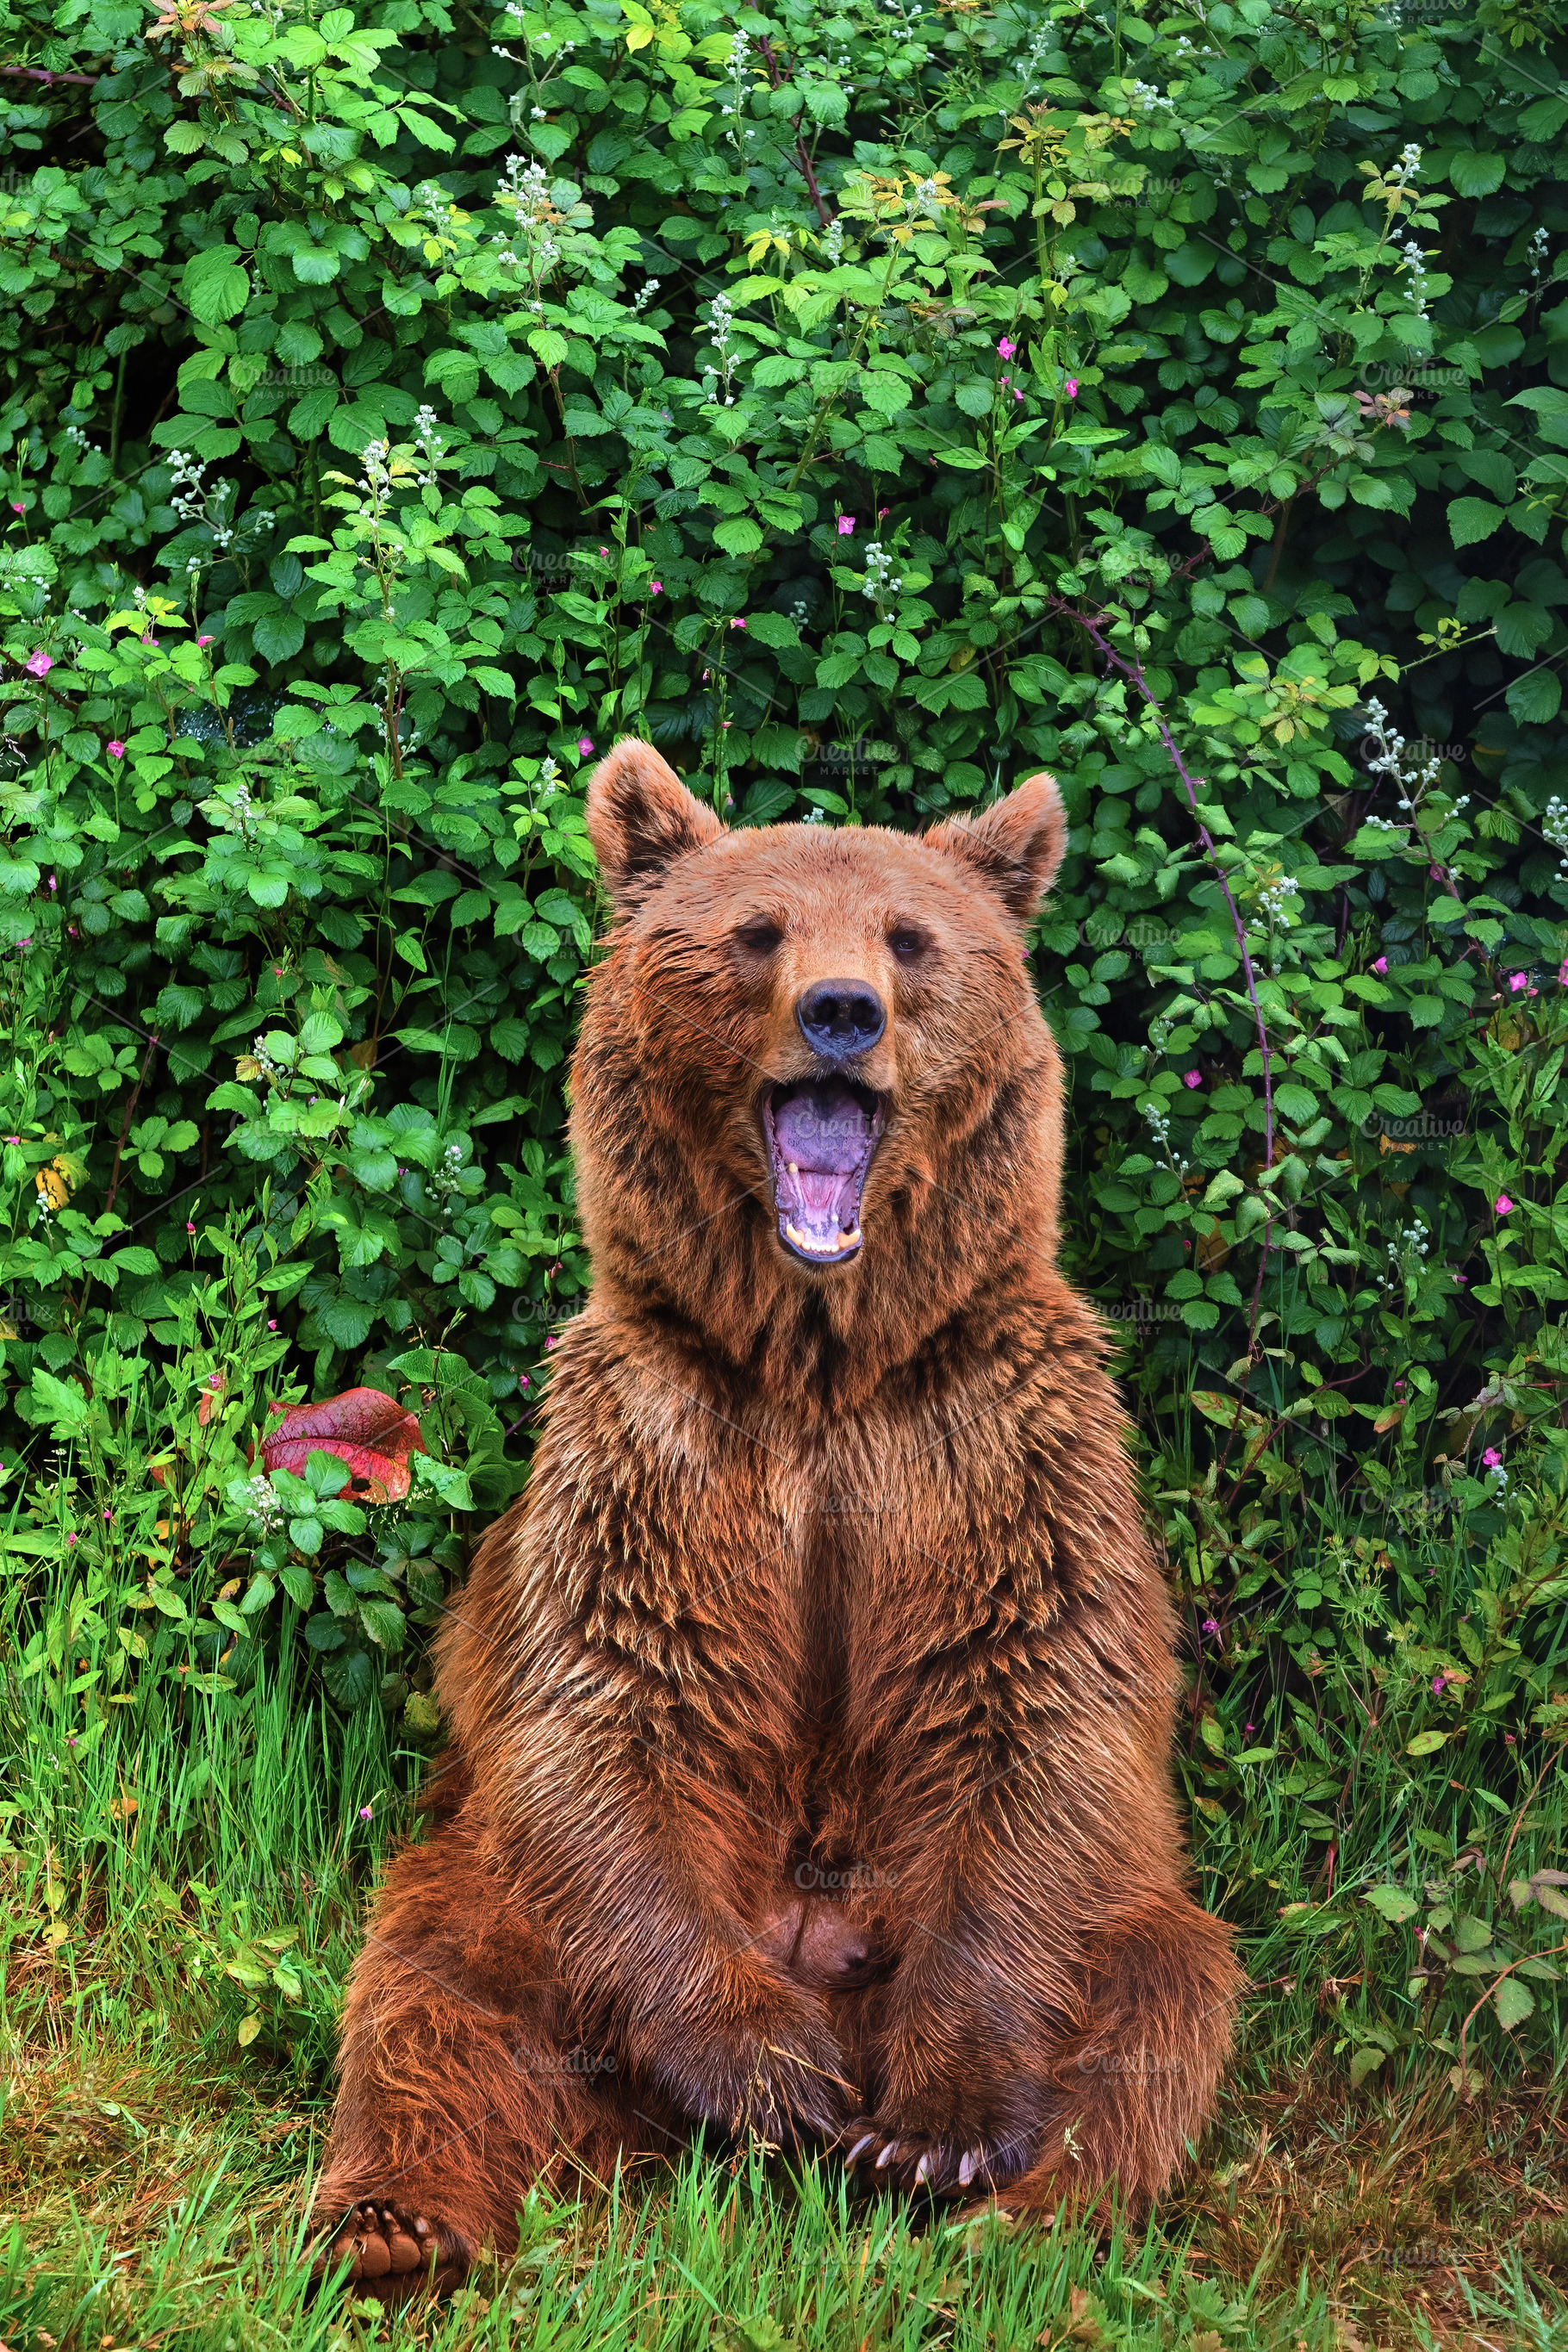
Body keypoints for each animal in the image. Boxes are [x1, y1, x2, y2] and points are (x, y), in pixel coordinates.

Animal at [310, 741, 1242, 2298]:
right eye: (759, 933)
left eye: (911, 939)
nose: (840, 1011)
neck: (823, 1363)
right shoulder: (652, 1453)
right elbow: (610, 1712)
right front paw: (771, 2075)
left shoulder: (995, 1453)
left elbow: (1035, 1718)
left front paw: (936, 2132)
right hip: (510, 1908)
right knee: (430, 1995)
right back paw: (395, 2221)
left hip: (1118, 1913)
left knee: (1162, 1989)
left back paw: (1019, 2219)